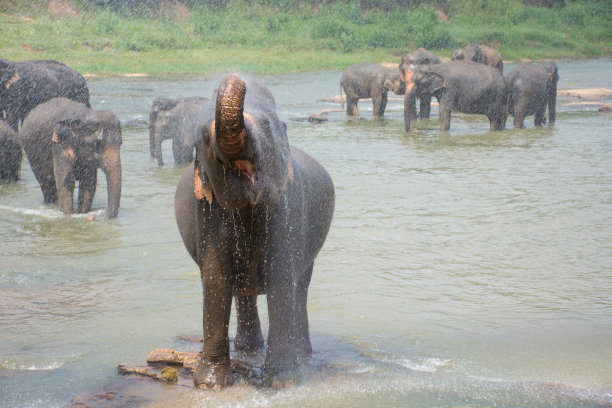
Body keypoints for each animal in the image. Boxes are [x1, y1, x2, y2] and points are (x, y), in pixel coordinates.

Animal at [172, 74, 334, 388]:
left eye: (269, 128)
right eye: (205, 138)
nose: (240, 77)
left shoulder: (287, 205)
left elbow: (281, 274)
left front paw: (283, 381)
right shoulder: (205, 209)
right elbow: (216, 277)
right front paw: (210, 385)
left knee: (300, 286)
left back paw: (303, 354)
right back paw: (248, 349)